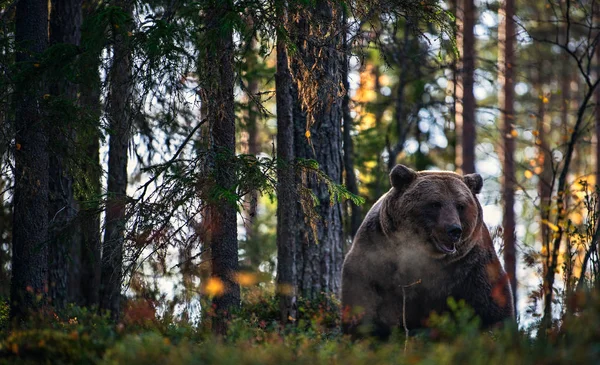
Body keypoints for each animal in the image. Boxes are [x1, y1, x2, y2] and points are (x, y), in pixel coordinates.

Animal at [342, 164, 516, 336]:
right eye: (435, 203)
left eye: (460, 205)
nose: (454, 230)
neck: (427, 258)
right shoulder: (377, 253)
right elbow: (363, 296)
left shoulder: (470, 265)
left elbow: (491, 308)